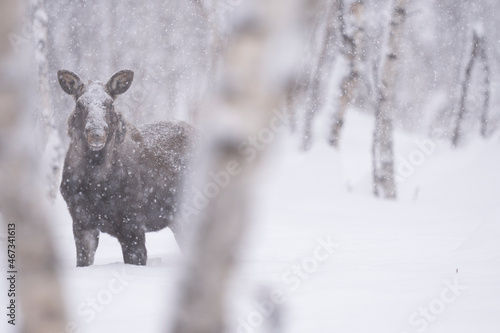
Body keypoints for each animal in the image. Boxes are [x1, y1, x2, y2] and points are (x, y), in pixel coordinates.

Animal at [58, 69, 197, 264]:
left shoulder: (133, 221)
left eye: (110, 104)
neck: (95, 183)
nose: (96, 133)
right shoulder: (80, 220)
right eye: (79, 104)